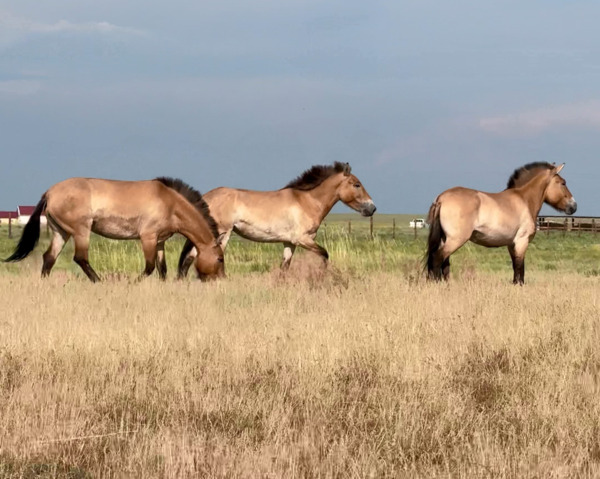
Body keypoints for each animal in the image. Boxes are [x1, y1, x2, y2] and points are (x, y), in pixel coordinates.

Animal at [4, 176, 226, 282]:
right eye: (220, 259)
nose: (221, 280)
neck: (170, 203)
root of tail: (50, 192)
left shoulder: (160, 241)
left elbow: (162, 269)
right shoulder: (147, 238)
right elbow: (149, 267)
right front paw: (132, 283)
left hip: (61, 232)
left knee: (49, 257)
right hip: (81, 231)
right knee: (80, 258)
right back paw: (100, 282)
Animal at [176, 162, 378, 278]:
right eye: (357, 184)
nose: (372, 208)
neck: (307, 201)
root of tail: (206, 197)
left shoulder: (290, 243)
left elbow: (284, 267)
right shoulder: (303, 239)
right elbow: (324, 255)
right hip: (221, 234)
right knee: (194, 257)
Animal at [426, 164, 576, 284]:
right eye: (563, 183)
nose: (574, 206)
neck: (524, 200)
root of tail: (441, 198)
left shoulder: (511, 244)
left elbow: (515, 266)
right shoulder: (522, 241)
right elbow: (520, 266)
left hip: (445, 239)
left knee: (444, 262)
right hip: (455, 239)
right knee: (438, 258)